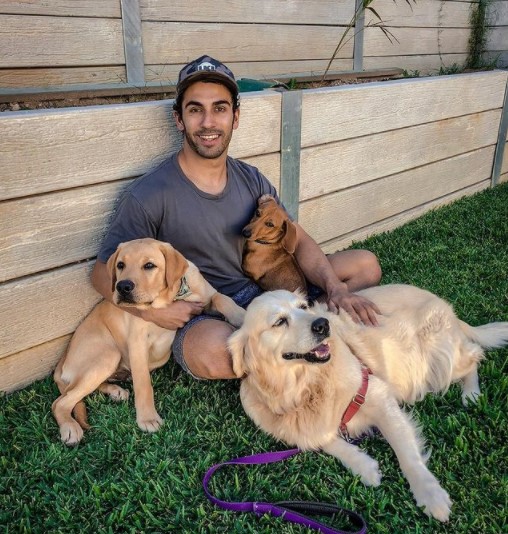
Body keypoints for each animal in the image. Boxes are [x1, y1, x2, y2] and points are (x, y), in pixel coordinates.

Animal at [54, 241, 245, 446]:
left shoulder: (206, 299)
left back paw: (115, 391)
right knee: (61, 401)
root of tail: (63, 359)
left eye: (149, 265)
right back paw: (70, 428)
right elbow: (143, 383)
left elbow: (221, 297)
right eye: (120, 265)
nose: (122, 286)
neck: (169, 298)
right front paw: (147, 419)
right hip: (108, 355)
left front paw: (241, 316)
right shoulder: (137, 342)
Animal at [230, 286, 508, 524]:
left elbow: (407, 454)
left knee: (474, 356)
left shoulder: (375, 394)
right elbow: (324, 440)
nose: (322, 325)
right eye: (279, 322)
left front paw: (430, 495)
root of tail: (446, 307)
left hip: (435, 361)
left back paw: (471, 394)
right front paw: (365, 467)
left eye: (303, 306)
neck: (305, 387)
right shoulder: (299, 430)